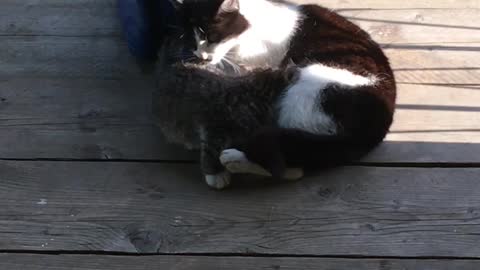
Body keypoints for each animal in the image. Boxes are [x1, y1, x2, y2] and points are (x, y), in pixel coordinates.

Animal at [156, 0, 396, 189]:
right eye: (191, 39)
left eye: (212, 37)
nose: (201, 56)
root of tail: (377, 125)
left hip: (302, 92)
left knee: (283, 158)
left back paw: (234, 158)